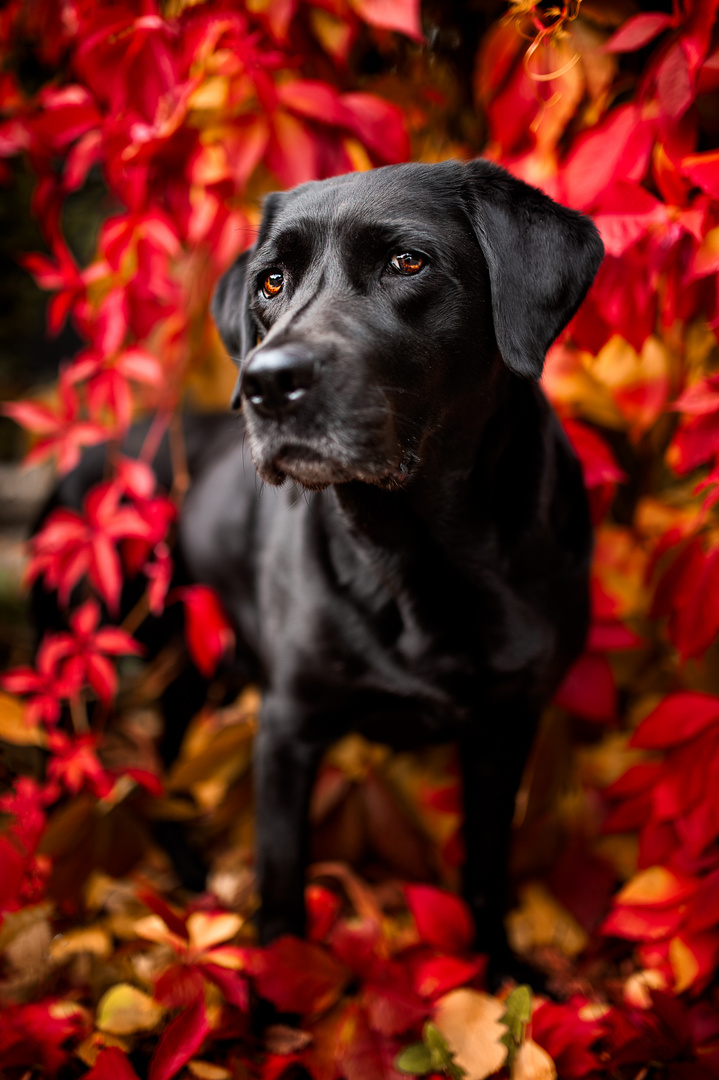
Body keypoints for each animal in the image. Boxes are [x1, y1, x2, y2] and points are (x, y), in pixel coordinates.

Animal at [39, 157, 600, 980]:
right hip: (76, 663)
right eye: (270, 282)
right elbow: (281, 891)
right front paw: (278, 998)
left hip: (197, 668)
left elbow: (486, 866)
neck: (416, 560)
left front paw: (501, 976)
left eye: (407, 262)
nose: (267, 382)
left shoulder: (506, 724)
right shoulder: (288, 728)